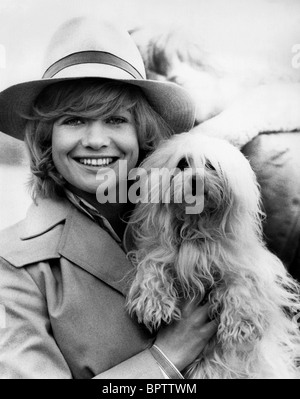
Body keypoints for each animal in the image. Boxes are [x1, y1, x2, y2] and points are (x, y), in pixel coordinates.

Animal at [125, 133, 300, 380]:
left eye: (210, 165)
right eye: (182, 164)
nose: (196, 181)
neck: (195, 227)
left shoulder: (241, 262)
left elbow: (242, 284)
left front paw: (241, 324)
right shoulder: (159, 251)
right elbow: (152, 267)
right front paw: (154, 302)